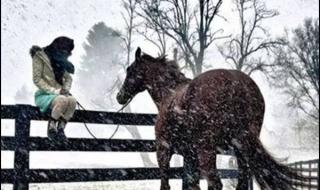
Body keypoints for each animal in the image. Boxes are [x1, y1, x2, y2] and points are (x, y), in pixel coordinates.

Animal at [116, 47, 306, 189]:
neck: (168, 94)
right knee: (241, 181)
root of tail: (236, 83)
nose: (120, 96)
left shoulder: (163, 151)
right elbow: (193, 185)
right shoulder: (190, 156)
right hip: (239, 148)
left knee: (216, 183)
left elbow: (165, 185)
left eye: (129, 70)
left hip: (207, 150)